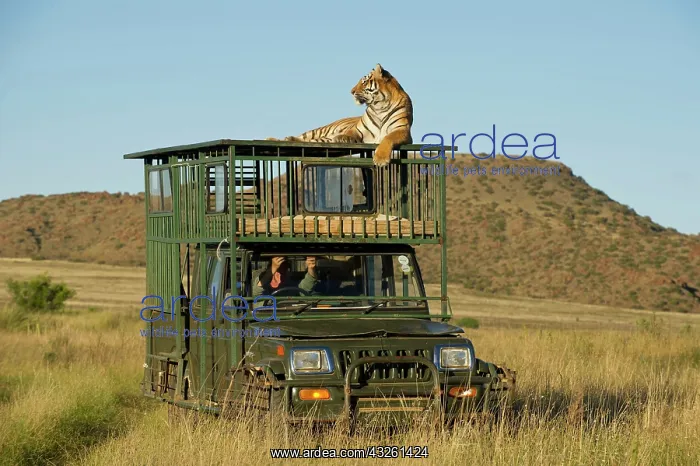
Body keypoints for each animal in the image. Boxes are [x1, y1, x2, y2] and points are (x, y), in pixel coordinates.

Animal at [266, 64, 413, 166]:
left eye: (364, 82)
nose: (351, 91)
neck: (379, 106)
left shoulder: (402, 131)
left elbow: (388, 138)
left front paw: (381, 159)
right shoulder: (358, 130)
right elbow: (349, 133)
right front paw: (342, 137)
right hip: (319, 131)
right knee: (303, 138)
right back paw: (275, 139)